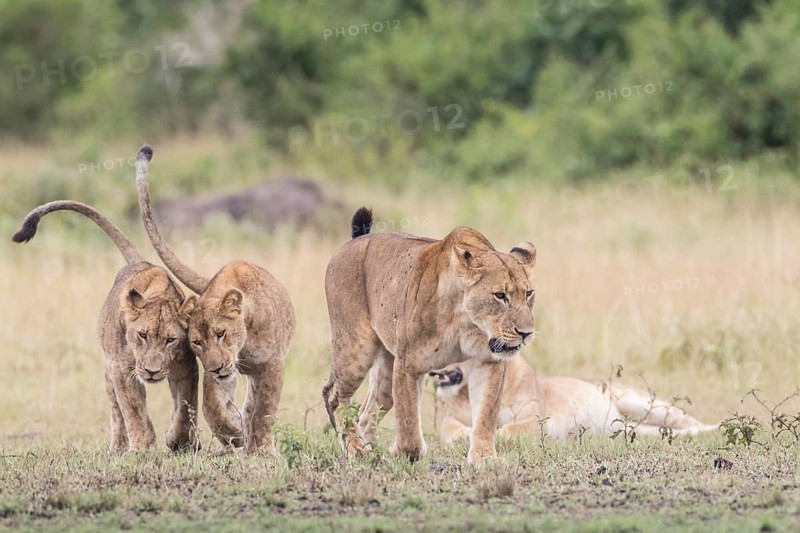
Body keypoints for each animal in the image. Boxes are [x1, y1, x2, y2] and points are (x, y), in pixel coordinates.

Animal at [11, 201, 199, 453]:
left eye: (170, 340)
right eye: (142, 335)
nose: (151, 371)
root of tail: (142, 262)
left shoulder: (186, 366)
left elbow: (185, 406)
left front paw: (179, 440)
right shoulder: (122, 368)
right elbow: (133, 410)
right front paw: (142, 447)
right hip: (110, 371)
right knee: (117, 410)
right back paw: (118, 448)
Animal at [134, 145, 295, 455]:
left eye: (221, 333)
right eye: (197, 342)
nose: (218, 366)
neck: (244, 342)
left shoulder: (273, 364)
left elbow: (265, 409)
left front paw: (262, 448)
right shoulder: (216, 369)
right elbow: (212, 405)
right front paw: (233, 433)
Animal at [323, 207, 537, 463]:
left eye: (529, 293)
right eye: (500, 295)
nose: (526, 333)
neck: (465, 320)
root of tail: (355, 240)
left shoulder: (488, 361)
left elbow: (486, 414)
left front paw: (484, 458)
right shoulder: (408, 365)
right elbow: (409, 427)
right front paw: (402, 452)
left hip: (386, 365)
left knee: (367, 411)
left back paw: (370, 449)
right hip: (355, 348)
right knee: (333, 396)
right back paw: (357, 449)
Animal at [432, 355, 718, 443]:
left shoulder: (537, 420)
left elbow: (509, 429)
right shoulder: (448, 419)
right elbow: (452, 430)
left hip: (642, 403)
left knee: (691, 422)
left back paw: (715, 428)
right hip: (635, 428)